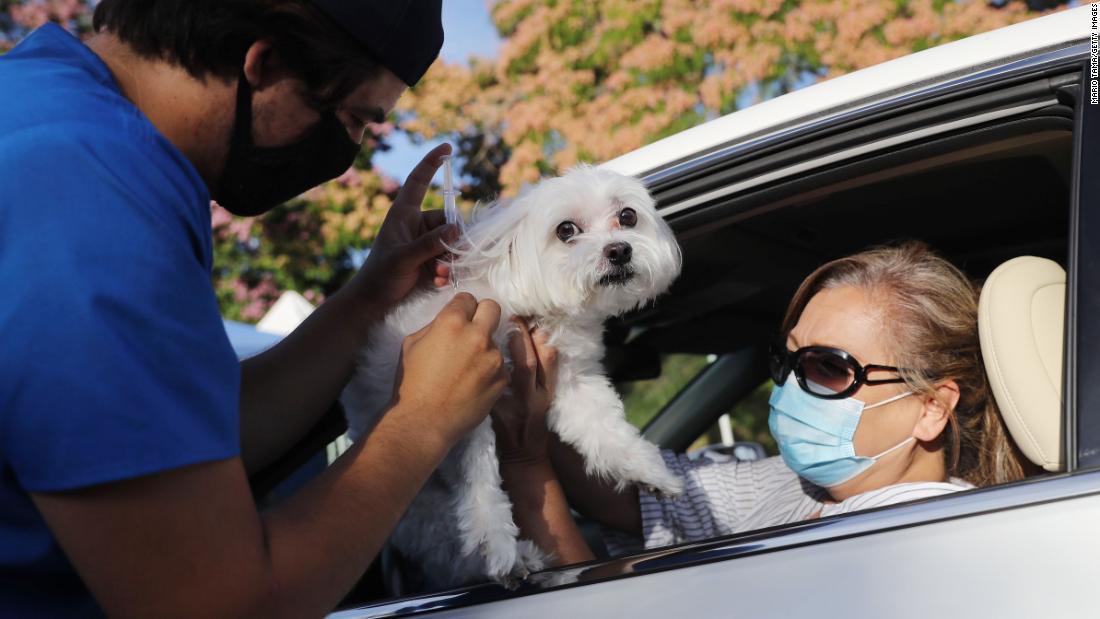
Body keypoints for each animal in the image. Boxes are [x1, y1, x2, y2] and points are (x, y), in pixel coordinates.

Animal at [343, 166, 682, 589]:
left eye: (628, 216)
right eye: (566, 230)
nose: (619, 250)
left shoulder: (573, 382)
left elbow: (605, 430)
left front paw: (651, 473)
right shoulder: (468, 398)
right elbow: (481, 477)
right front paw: (497, 543)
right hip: (416, 504)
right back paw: (514, 557)